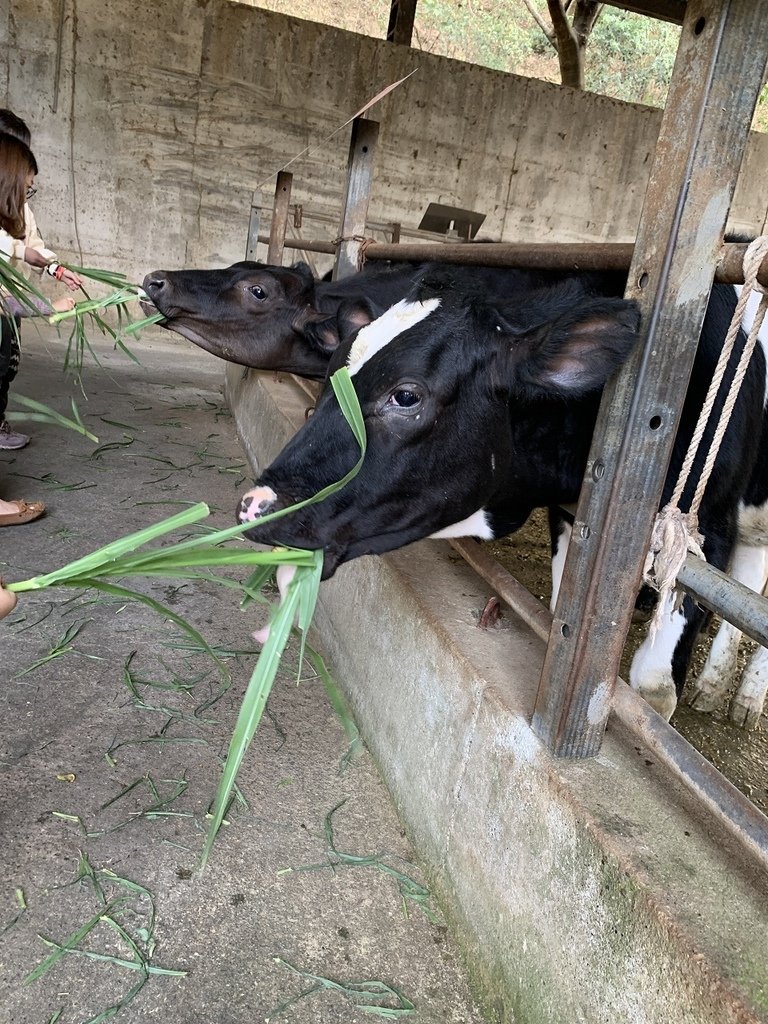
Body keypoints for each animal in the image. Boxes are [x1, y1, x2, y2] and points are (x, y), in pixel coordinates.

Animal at [237, 268, 768, 724]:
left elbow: (655, 690)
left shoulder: (709, 524)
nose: (254, 505)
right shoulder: (571, 517)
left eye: (406, 396)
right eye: (330, 374)